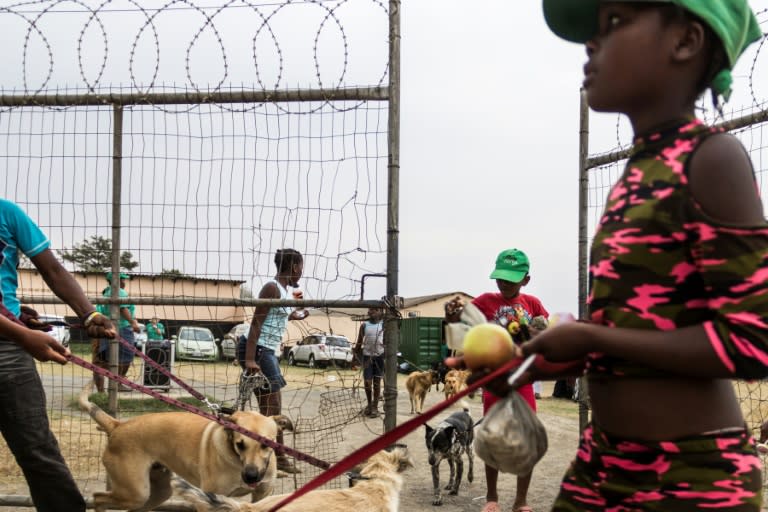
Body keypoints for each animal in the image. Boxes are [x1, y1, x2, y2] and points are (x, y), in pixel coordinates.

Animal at [79, 382, 294, 510]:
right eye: (239, 444)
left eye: (266, 444)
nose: (251, 477)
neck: (236, 461)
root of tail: (117, 425)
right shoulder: (209, 500)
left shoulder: (262, 495)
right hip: (135, 493)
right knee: (98, 498)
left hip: (157, 493)